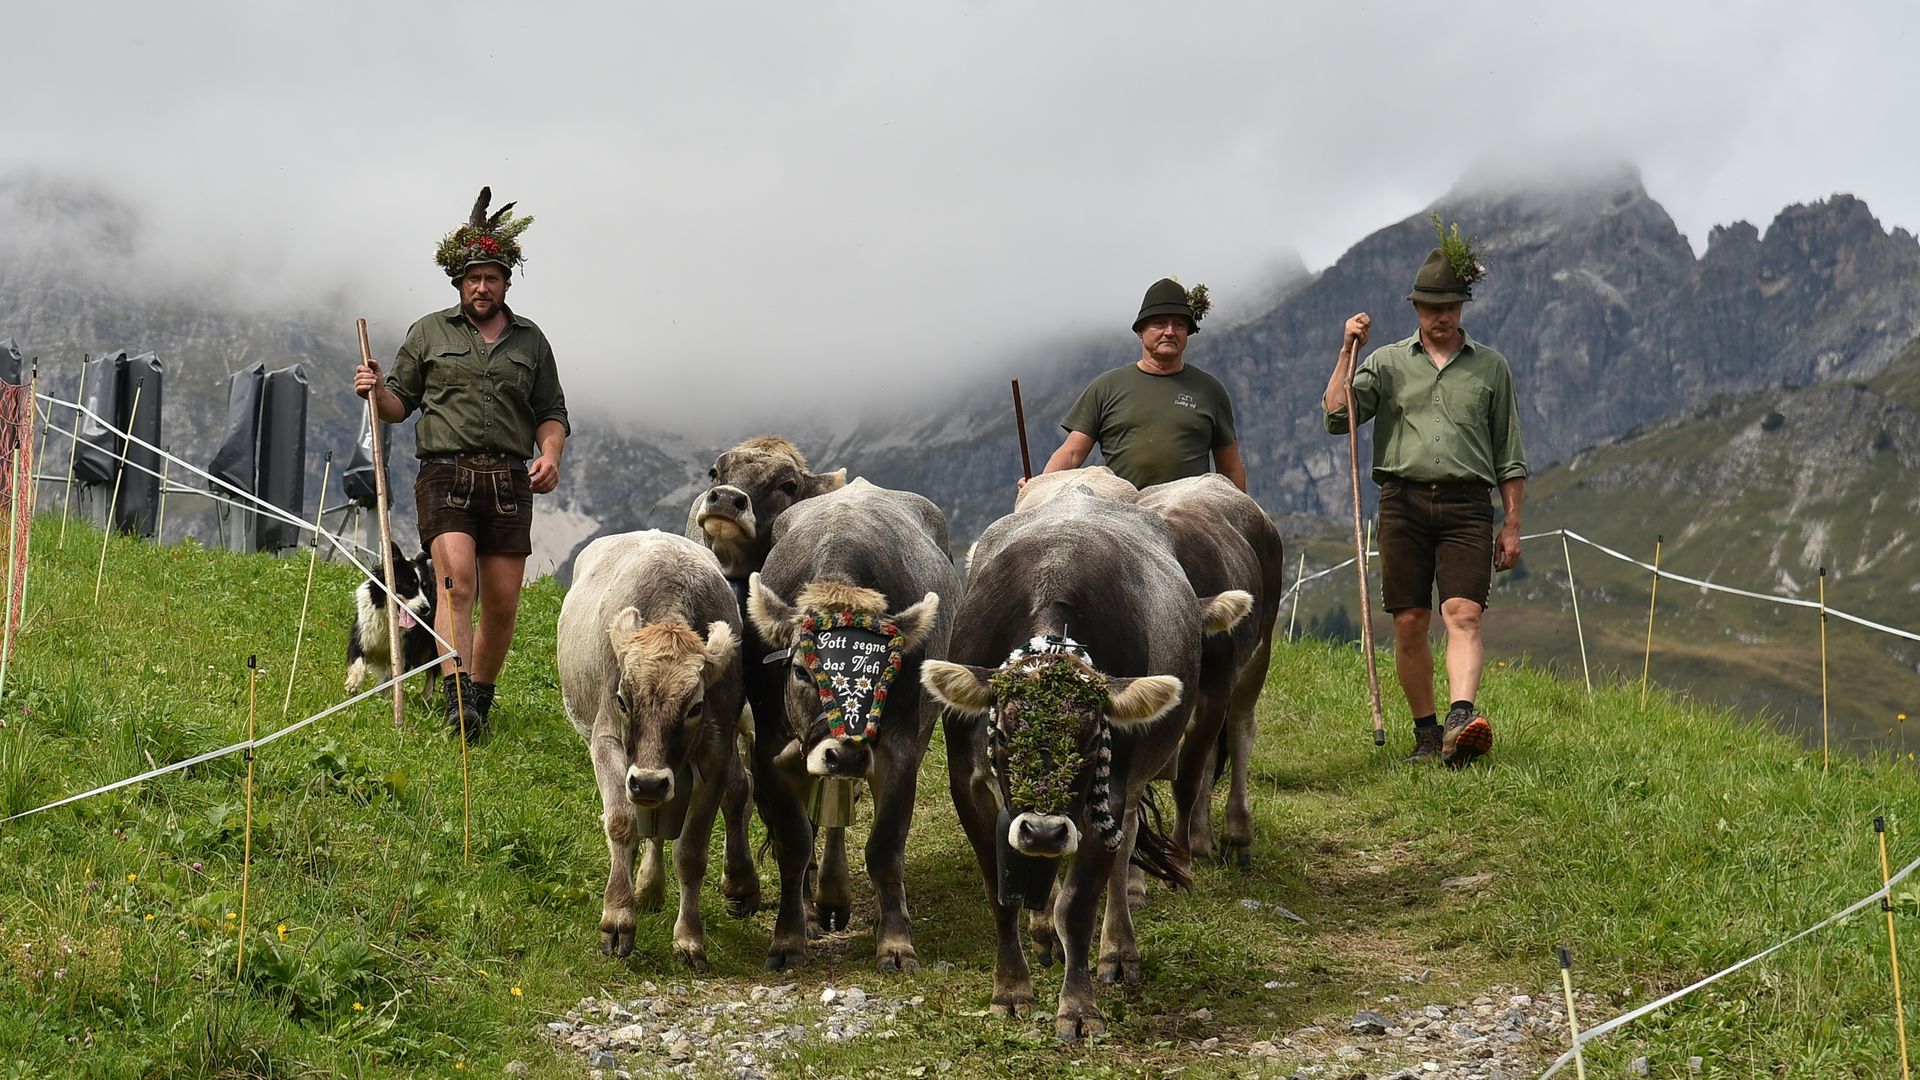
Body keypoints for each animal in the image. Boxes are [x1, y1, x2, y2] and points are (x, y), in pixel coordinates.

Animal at [556, 530, 753, 969]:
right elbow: (621, 822)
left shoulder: (714, 755)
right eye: (622, 699)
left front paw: (689, 939)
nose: (647, 782)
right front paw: (617, 916)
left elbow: (691, 851)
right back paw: (640, 884)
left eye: (695, 706)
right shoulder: (607, 741)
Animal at [742, 478, 958, 973]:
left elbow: (885, 848)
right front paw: (788, 939)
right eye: (800, 671)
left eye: (888, 673)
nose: (847, 753)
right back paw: (814, 909)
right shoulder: (771, 750)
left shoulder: (898, 749)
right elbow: (794, 843)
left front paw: (895, 942)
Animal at [920, 487, 1251, 1040]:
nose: (1044, 830)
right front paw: (1010, 989)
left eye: (1092, 737)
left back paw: (1118, 951)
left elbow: (1078, 904)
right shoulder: (968, 782)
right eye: (1002, 733)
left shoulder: (1110, 787)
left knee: (1124, 851)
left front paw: (1078, 1008)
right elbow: (998, 890)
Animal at [1137, 474, 1286, 867]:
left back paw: (1236, 834)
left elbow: (1187, 778)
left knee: (1240, 730)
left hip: (1258, 651)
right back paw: (1202, 837)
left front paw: (1178, 856)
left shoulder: (1214, 695)